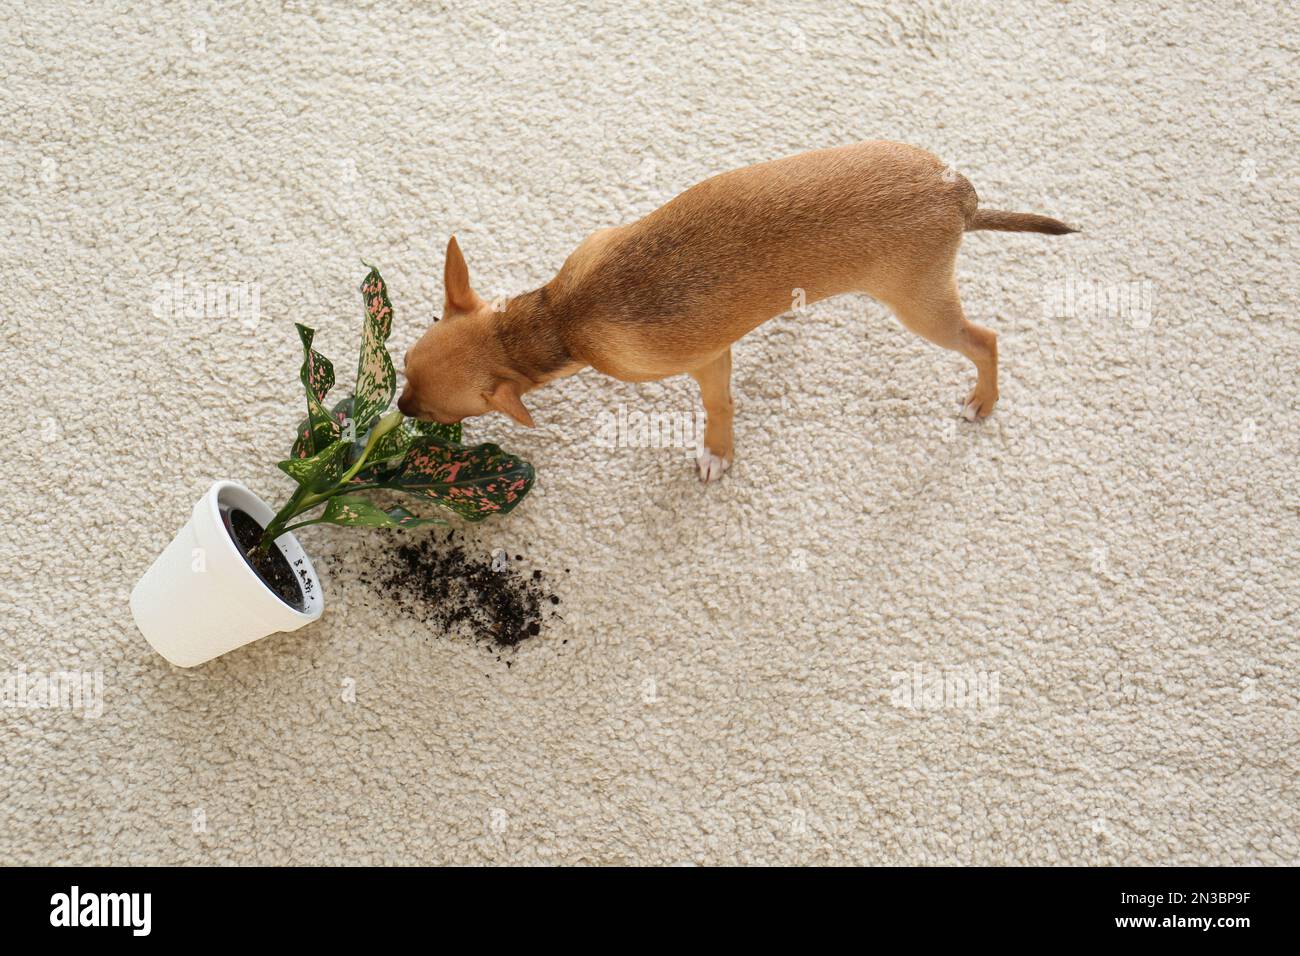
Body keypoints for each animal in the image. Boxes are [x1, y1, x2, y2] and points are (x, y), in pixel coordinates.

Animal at [397, 138, 1076, 481]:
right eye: (402, 369)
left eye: (433, 412)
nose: (397, 407)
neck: (557, 318)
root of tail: (956, 191)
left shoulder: (706, 360)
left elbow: (717, 406)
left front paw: (718, 453)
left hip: (920, 307)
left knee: (985, 340)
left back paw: (982, 399)